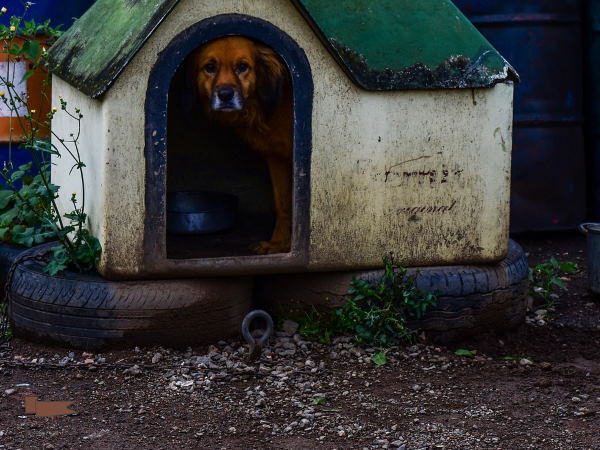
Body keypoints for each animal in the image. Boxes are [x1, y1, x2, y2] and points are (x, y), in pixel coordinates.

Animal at [190, 37, 292, 255]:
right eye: (210, 67)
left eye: (242, 67)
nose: (225, 95)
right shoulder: (276, 156)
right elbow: (282, 203)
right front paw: (280, 244)